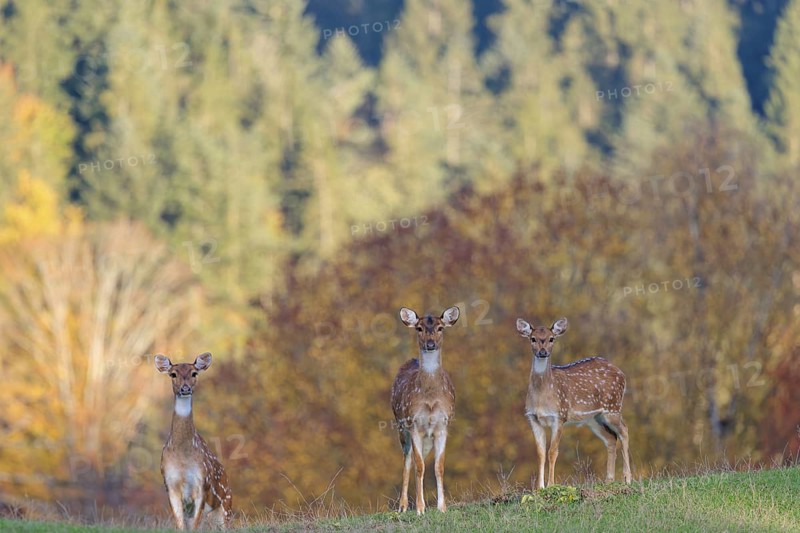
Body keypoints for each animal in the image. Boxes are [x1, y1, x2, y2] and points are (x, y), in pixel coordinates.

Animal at [154, 352, 232, 530]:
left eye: (194, 373)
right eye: (173, 374)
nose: (185, 389)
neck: (183, 459)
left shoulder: (202, 483)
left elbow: (195, 525)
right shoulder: (170, 483)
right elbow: (180, 525)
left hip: (226, 506)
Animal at [390, 306, 460, 514]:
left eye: (440, 328)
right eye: (419, 328)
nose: (430, 344)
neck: (430, 399)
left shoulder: (443, 425)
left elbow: (439, 466)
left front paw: (442, 507)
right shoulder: (413, 423)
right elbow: (419, 466)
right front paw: (420, 508)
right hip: (401, 425)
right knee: (408, 460)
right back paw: (403, 505)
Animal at [516, 317, 631, 489]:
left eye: (552, 338)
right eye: (533, 338)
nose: (543, 352)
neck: (542, 398)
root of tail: (621, 373)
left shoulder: (559, 415)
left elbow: (552, 452)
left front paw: (551, 485)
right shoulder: (533, 418)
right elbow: (540, 453)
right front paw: (539, 488)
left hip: (613, 407)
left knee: (624, 431)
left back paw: (627, 478)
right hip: (593, 418)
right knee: (611, 438)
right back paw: (608, 480)